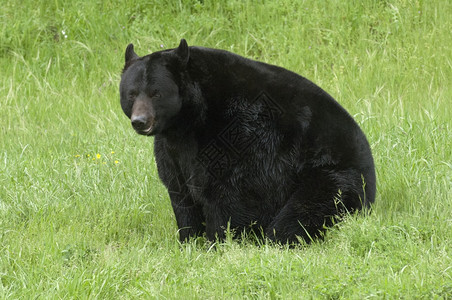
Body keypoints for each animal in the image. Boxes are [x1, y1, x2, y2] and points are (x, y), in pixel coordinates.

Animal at [119, 38, 374, 244]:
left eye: (156, 93)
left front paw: (217, 243)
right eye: (131, 94)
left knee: (302, 212)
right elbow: (180, 192)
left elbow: (227, 194)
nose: (140, 121)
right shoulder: (172, 150)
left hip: (333, 177)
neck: (188, 121)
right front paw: (188, 241)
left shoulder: (237, 134)